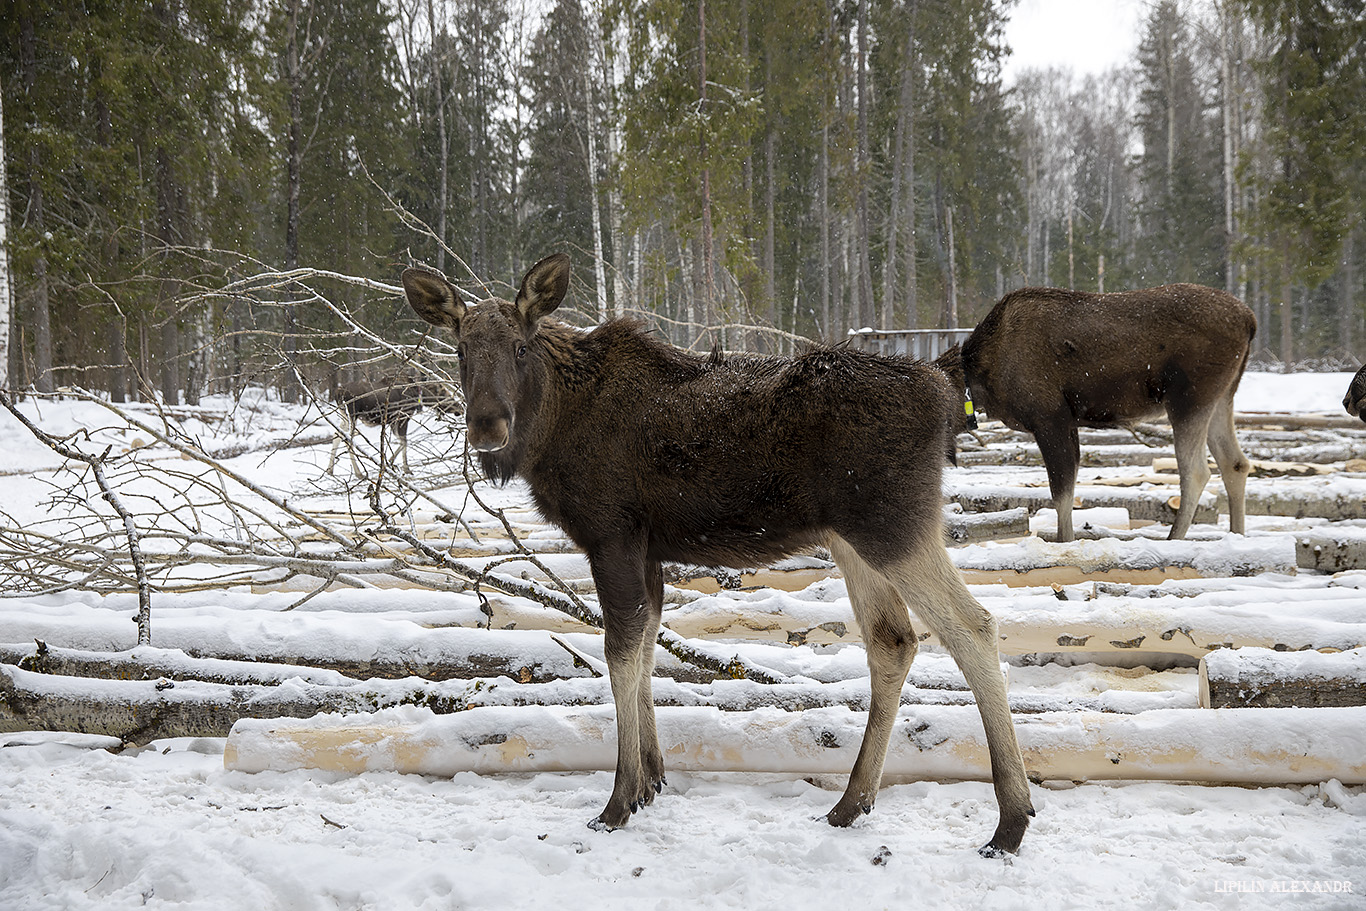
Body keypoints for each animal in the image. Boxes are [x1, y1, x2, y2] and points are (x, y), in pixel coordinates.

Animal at [404, 255, 1032, 857]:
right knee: (892, 640)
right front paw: (653, 779)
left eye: (520, 345)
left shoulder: (611, 536)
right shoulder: (647, 550)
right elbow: (647, 644)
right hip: (851, 538)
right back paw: (852, 803)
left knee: (973, 626)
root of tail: (943, 392)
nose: (487, 427)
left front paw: (619, 799)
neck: (551, 427)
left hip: (893, 526)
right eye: (459, 349)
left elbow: (618, 652)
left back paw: (1010, 820)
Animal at [945, 285, 1251, 540]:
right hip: (1223, 395)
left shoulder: (1050, 419)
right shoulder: (1069, 423)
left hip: (1189, 398)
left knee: (1196, 471)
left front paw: (1065, 543)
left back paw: (1174, 538)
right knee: (1235, 462)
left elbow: (1061, 495)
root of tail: (1250, 319)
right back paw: (1237, 534)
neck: (980, 379)